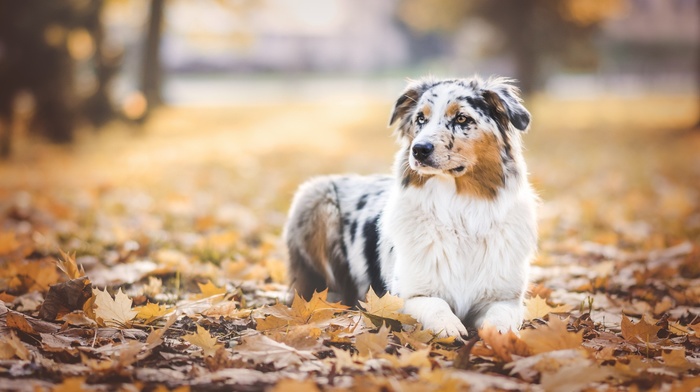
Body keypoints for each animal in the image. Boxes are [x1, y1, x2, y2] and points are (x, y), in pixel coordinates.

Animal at [282, 76, 540, 336]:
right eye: (420, 119)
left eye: (462, 118)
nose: (419, 149)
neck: (459, 214)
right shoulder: (402, 297)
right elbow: (434, 304)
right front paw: (449, 325)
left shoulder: (505, 298)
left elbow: (501, 318)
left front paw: (499, 336)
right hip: (314, 196)